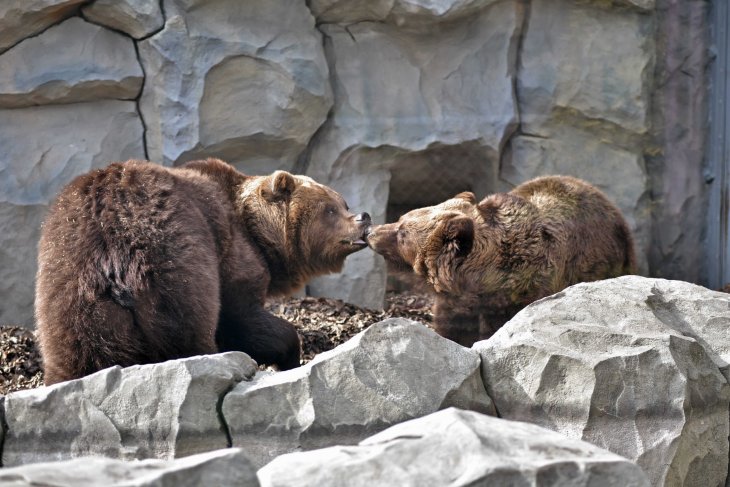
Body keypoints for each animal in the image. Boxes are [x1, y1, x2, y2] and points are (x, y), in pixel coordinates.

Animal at [35, 158, 371, 384]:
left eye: (343, 203)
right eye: (330, 209)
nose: (363, 217)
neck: (259, 234)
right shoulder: (232, 258)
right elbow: (241, 318)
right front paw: (289, 355)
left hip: (70, 285)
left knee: (78, 349)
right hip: (173, 265)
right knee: (187, 332)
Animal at [367, 175, 636, 346]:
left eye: (402, 232)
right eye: (402, 218)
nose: (371, 231)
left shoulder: (520, 299)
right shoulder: (455, 304)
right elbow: (452, 329)